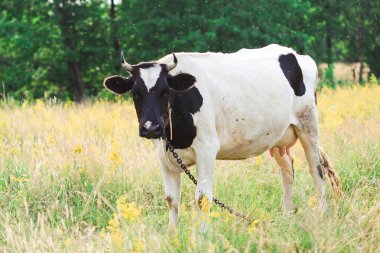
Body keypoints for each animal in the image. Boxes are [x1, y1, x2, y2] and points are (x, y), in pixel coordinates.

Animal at [103, 44, 342, 228]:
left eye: (165, 92)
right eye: (136, 94)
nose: (151, 128)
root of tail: (296, 54)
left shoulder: (207, 149)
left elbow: (203, 199)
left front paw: (203, 237)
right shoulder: (164, 156)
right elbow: (171, 200)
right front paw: (172, 235)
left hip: (308, 125)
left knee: (317, 171)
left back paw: (323, 214)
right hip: (277, 136)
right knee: (288, 171)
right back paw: (288, 215)